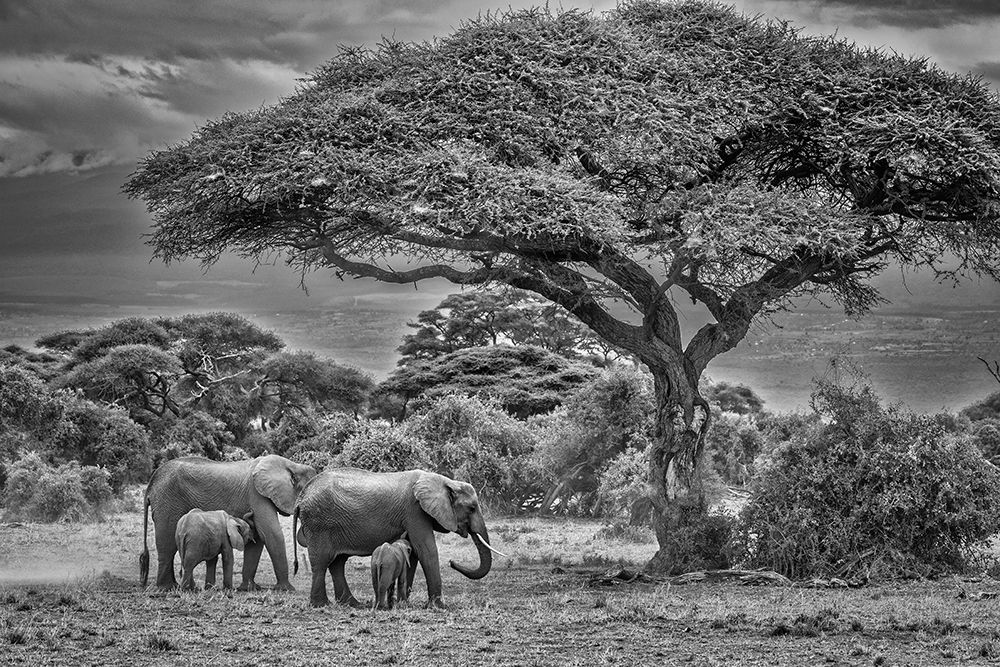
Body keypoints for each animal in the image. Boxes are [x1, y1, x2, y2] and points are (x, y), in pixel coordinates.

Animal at [139, 455, 317, 591]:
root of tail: (150, 485)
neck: (290, 465)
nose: (296, 568)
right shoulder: (256, 494)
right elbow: (271, 534)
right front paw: (287, 589)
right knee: (167, 544)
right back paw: (167, 588)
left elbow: (258, 539)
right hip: (168, 502)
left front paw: (248, 589)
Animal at [293, 468, 504, 608]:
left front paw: (404, 603)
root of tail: (300, 498)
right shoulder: (415, 511)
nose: (452, 562)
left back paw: (352, 604)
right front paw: (438, 607)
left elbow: (414, 555)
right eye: (472, 508)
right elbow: (426, 550)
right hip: (319, 523)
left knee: (338, 563)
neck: (445, 481)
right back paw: (321, 605)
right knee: (322, 562)